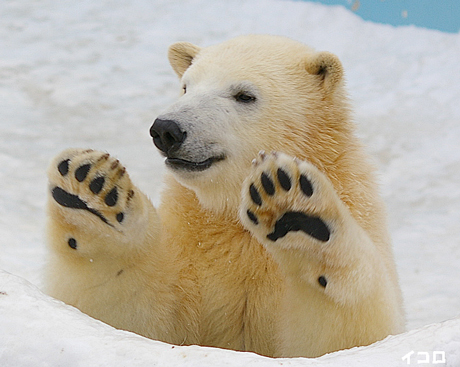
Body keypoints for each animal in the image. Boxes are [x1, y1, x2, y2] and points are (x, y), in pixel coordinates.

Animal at [45, 35, 404, 360]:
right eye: (186, 86)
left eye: (244, 95)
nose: (167, 130)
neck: (231, 220)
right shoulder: (191, 248)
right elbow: (130, 314)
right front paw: (90, 190)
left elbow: (340, 337)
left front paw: (298, 213)